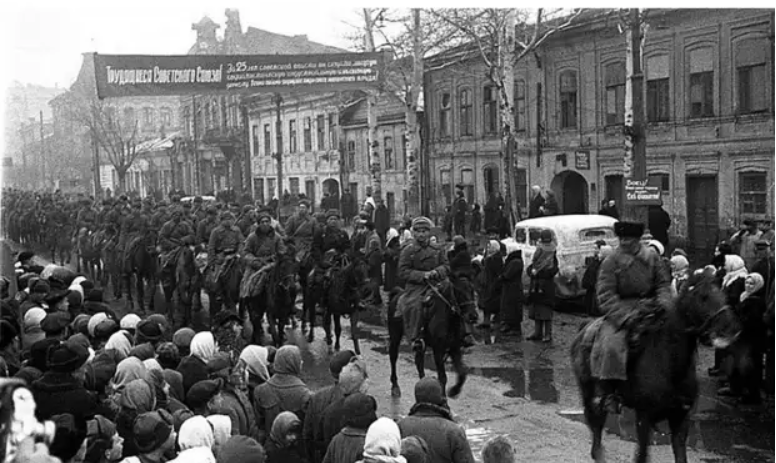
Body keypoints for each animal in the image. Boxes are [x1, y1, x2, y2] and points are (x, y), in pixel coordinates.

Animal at [572, 274, 736, 462]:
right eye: (703, 297)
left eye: (723, 295)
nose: (729, 328)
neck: (671, 366)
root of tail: (584, 328)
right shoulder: (644, 416)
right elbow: (642, 455)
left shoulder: (680, 418)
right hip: (589, 391)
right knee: (595, 421)